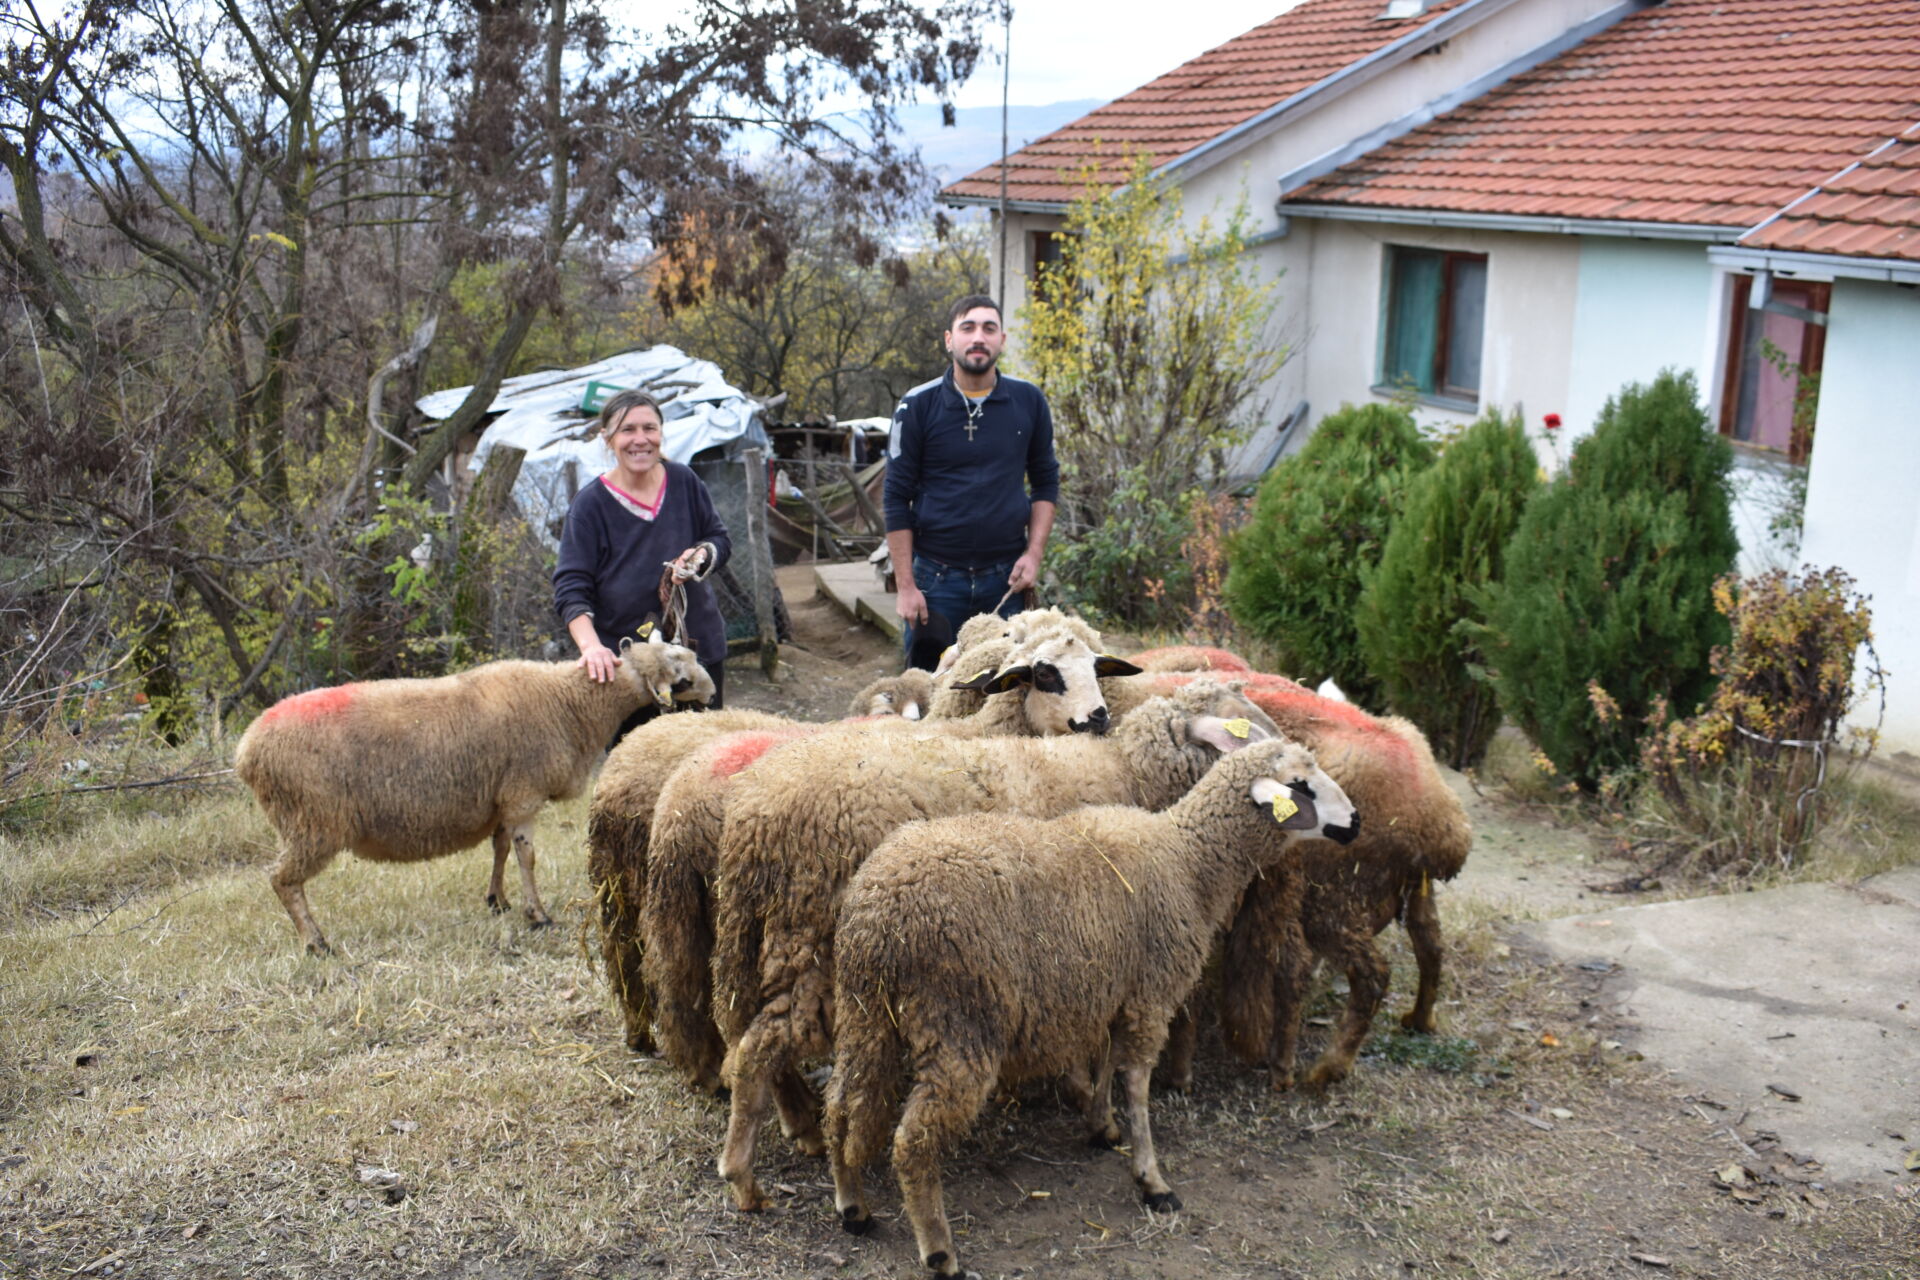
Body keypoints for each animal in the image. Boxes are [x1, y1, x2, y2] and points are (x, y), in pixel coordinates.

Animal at [234, 637, 714, 955]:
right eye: (678, 670)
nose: (710, 693)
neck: (568, 701)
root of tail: (246, 750)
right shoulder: (522, 792)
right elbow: (527, 856)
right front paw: (537, 915)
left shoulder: (500, 796)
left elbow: (499, 847)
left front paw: (497, 900)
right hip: (313, 819)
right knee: (282, 880)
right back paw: (315, 942)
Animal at [710, 679, 1274, 1212]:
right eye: (1241, 723)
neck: (1126, 769)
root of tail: (752, 817)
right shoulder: (1086, 948)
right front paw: (1092, 1104)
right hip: (817, 945)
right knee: (763, 1043)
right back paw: (747, 1175)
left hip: (783, 941)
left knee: (748, 1034)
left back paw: (791, 1137)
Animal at [825, 736, 1367, 1274]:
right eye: (1300, 785)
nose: (1357, 822)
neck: (1189, 862)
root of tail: (883, 910)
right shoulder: (1151, 994)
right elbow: (1137, 1082)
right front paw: (1151, 1179)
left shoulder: (1114, 993)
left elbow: (1107, 1063)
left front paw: (1102, 1126)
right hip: (959, 1022)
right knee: (913, 1140)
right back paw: (939, 1249)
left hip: (863, 1012)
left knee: (840, 1105)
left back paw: (853, 1207)